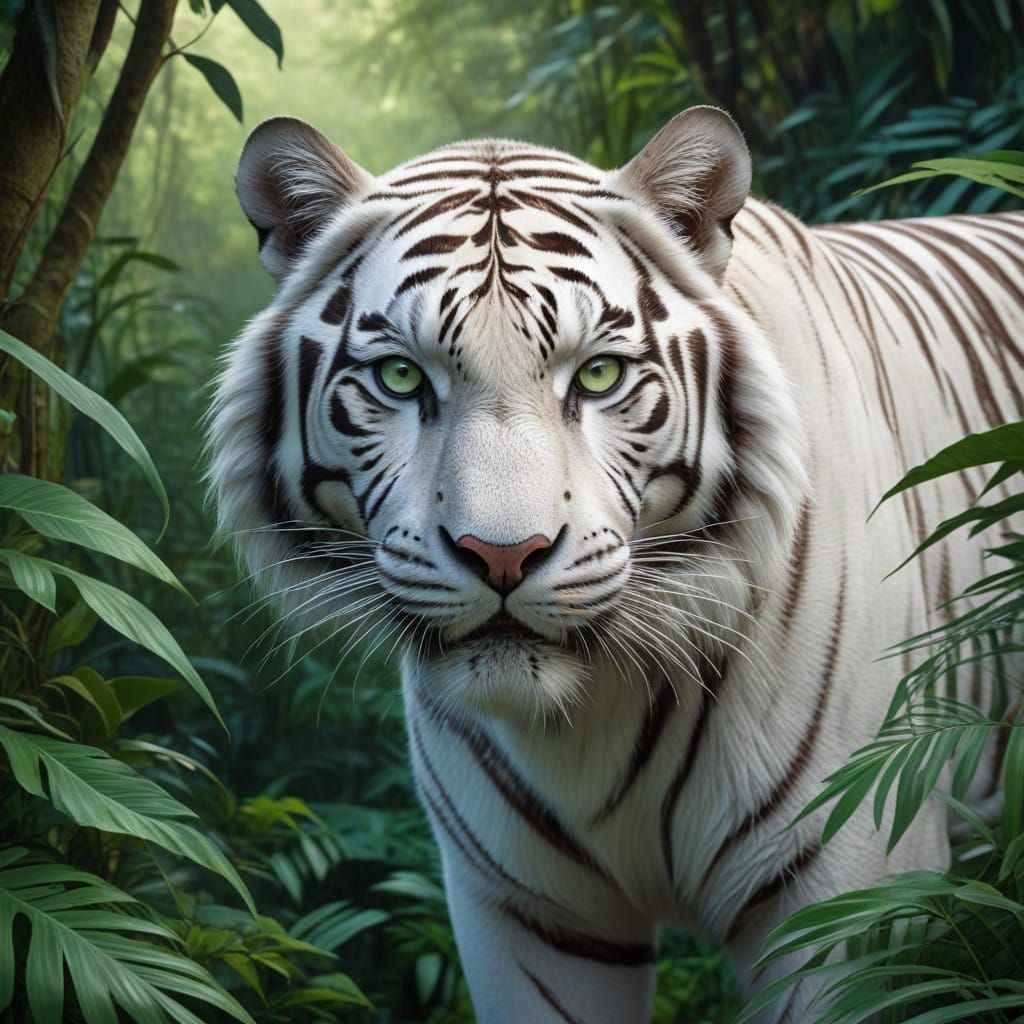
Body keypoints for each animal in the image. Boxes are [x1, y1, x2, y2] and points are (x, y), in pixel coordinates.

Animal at [206, 106, 1024, 1022]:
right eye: (399, 376)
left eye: (597, 375)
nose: (502, 555)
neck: (588, 716)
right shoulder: (526, 916)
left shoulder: (851, 890)